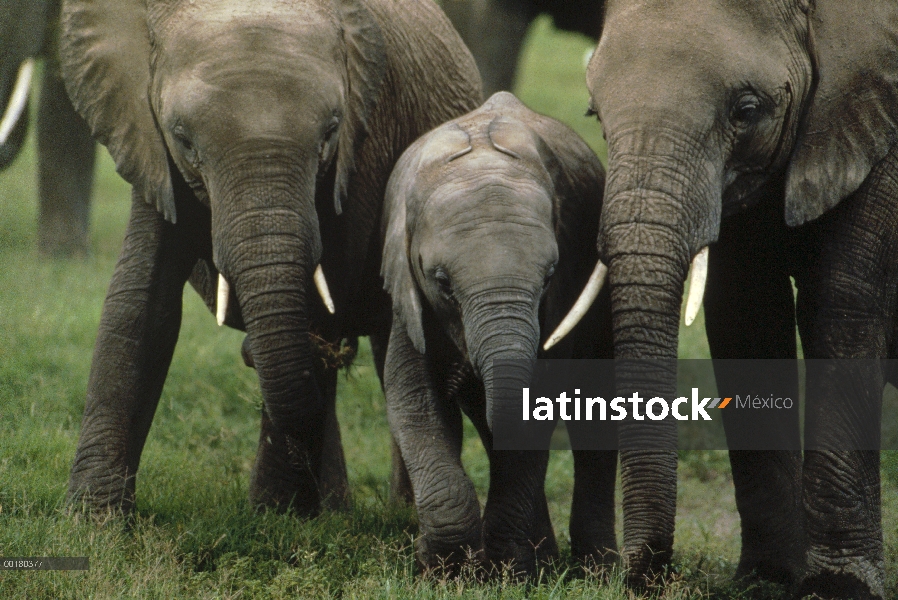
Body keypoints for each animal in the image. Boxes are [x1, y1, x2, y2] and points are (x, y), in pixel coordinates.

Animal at [61, 0, 484, 516]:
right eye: (184, 141)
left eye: (331, 132)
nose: (247, 351)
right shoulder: (149, 142)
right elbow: (142, 303)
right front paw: (96, 519)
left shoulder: (363, 147)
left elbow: (320, 304)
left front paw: (275, 516)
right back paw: (337, 510)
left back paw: (392, 513)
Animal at [378, 92, 616, 576]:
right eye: (442, 282)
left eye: (548, 276)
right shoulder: (407, 293)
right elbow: (414, 396)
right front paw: (445, 569)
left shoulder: (559, 302)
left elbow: (539, 405)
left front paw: (508, 570)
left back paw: (590, 569)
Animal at [548, 1, 896, 600]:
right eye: (594, 114)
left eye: (747, 110)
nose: (642, 575)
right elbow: (746, 314)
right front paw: (768, 579)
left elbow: (843, 303)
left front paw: (840, 587)